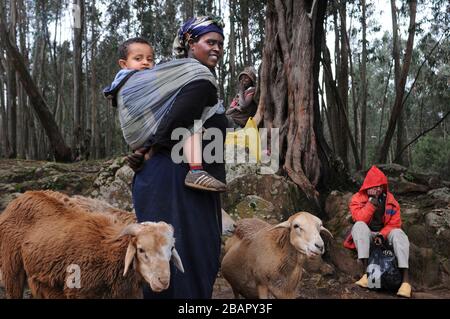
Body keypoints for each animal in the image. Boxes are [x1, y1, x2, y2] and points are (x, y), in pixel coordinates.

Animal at [0, 192, 184, 300]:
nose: (163, 281)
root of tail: (24, 196)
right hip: (12, 269)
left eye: (171, 249)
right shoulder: (77, 291)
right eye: (141, 249)